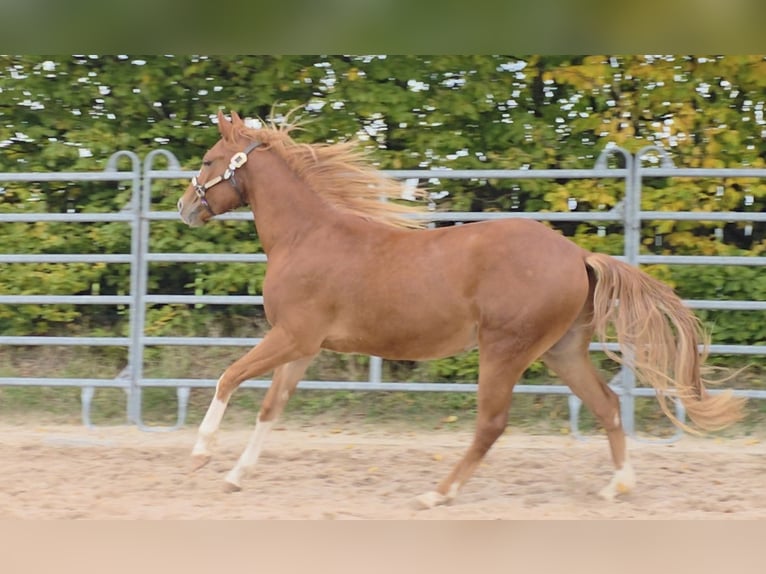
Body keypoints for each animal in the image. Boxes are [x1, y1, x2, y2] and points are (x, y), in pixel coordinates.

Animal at [177, 110, 744, 508]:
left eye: (207, 160)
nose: (185, 208)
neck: (306, 237)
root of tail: (578, 255)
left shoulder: (292, 336)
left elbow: (229, 376)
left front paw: (201, 454)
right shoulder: (303, 347)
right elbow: (271, 408)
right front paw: (234, 477)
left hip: (504, 349)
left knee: (491, 424)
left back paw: (438, 493)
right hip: (561, 351)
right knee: (605, 405)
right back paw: (617, 487)